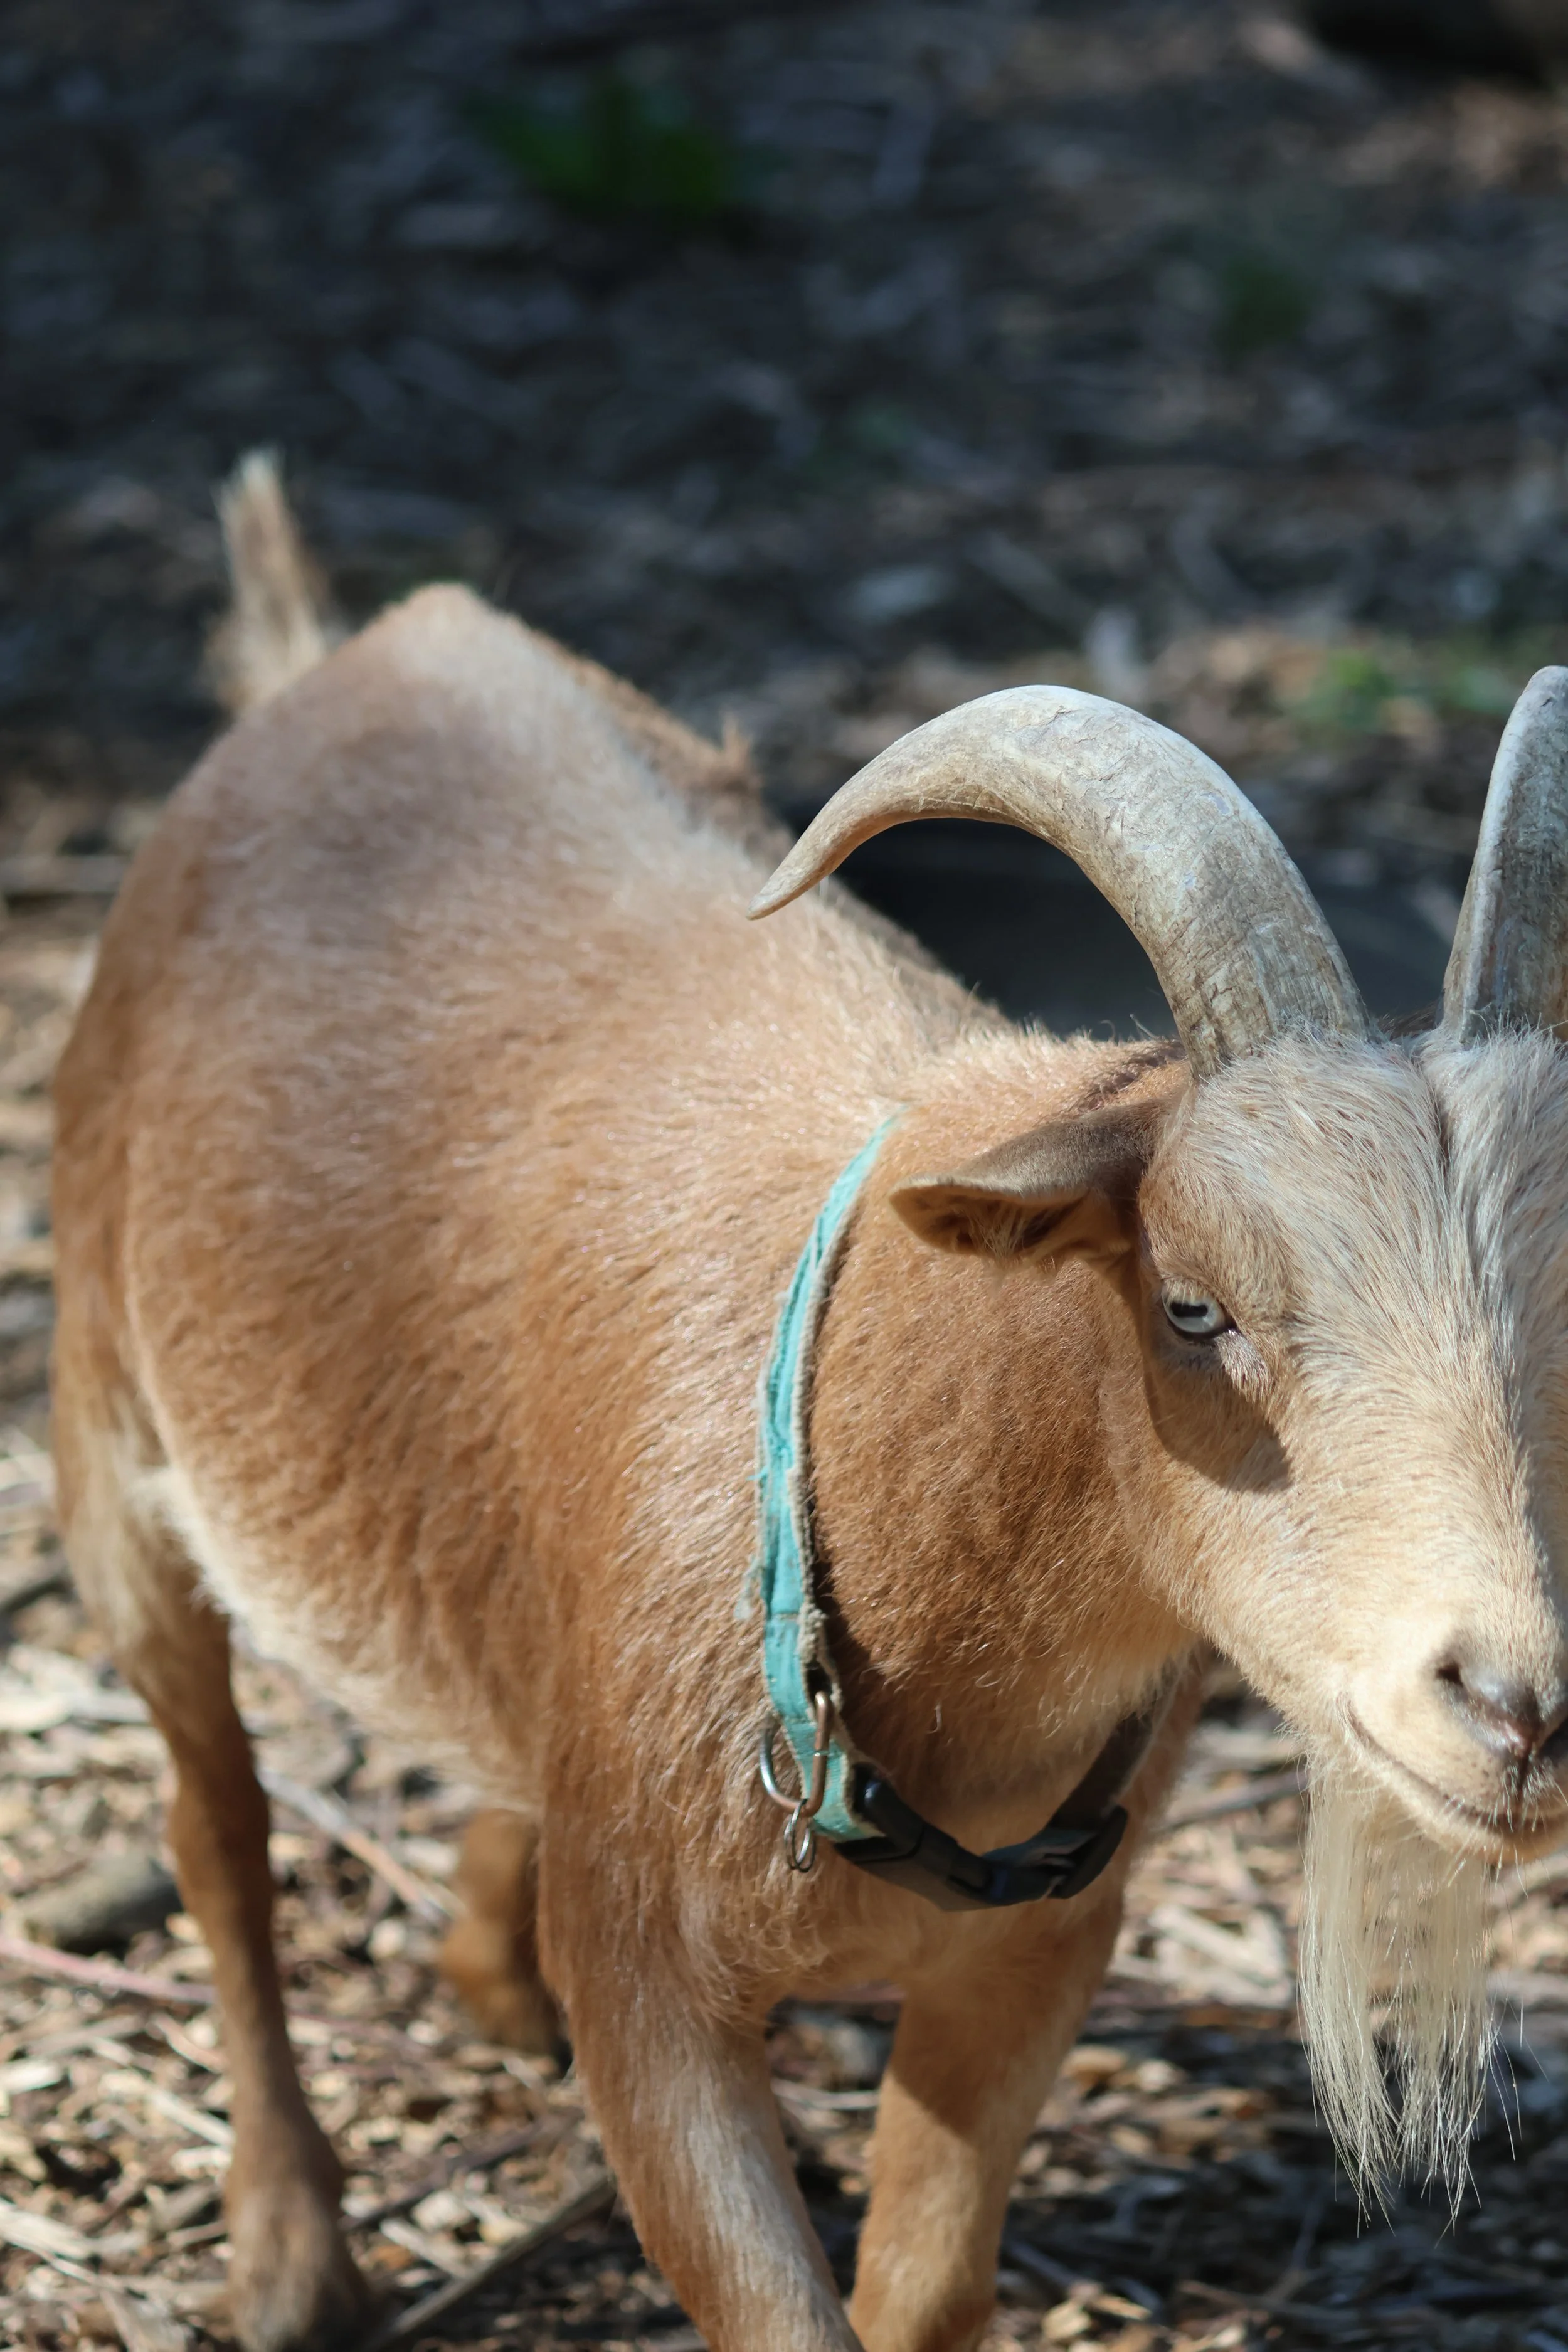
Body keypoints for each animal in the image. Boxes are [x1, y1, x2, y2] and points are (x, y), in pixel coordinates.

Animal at [50, 455, 1568, 2352]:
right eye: (1190, 1301)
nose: (1513, 1706)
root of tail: (345, 654)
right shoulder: (651, 1992)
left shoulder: (1038, 1949)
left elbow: (920, 2287)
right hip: (110, 1431)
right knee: (217, 1819)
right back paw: (288, 2253)